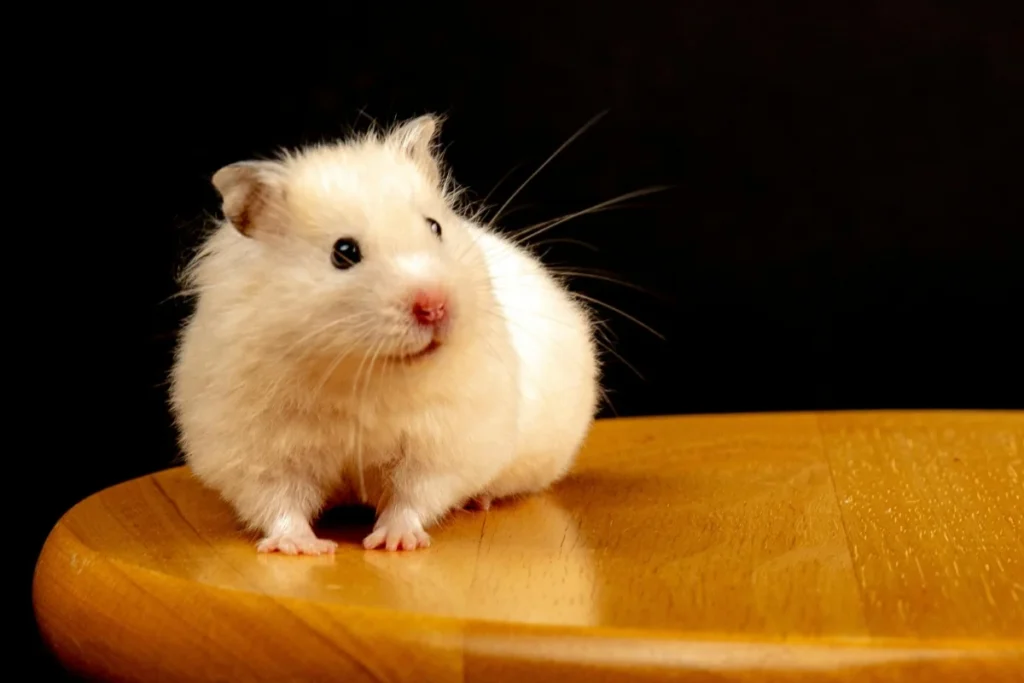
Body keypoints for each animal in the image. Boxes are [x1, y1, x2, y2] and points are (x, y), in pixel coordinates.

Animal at [169, 114, 600, 554]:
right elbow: (278, 501)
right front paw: (303, 547)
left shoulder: (442, 442)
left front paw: (394, 542)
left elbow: (414, 495)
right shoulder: (256, 449)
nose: (435, 306)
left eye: (435, 227)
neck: (363, 372)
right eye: (343, 252)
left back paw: (478, 500)